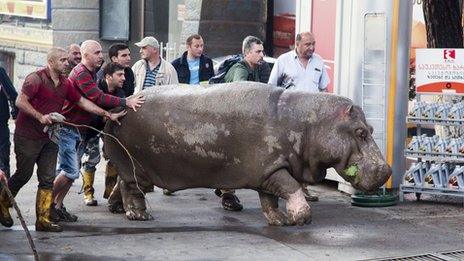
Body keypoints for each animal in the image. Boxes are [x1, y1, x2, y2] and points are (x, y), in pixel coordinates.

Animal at [103, 82, 390, 224]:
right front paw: (301, 218)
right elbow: (292, 187)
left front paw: (280, 220)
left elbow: (270, 199)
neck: (310, 122)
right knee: (131, 189)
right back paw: (139, 216)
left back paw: (116, 208)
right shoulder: (274, 168)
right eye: (360, 132)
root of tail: (120, 106)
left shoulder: (268, 171)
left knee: (121, 184)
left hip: (133, 166)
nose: (386, 170)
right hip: (136, 167)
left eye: (372, 129)